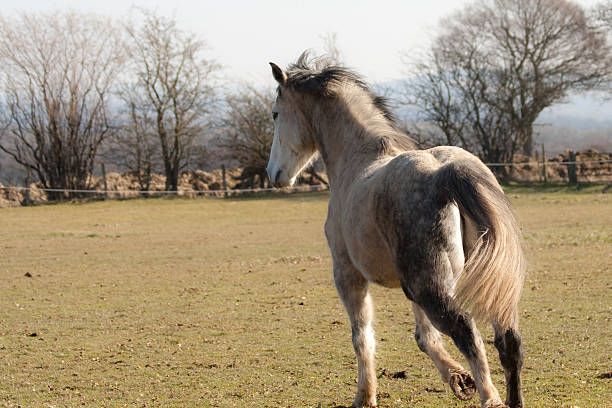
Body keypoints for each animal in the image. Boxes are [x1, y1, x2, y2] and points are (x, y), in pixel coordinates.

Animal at [266, 54, 524, 408]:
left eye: (276, 114)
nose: (273, 174)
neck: (357, 160)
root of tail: (445, 174)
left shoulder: (348, 275)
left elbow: (363, 338)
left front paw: (365, 396)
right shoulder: (408, 286)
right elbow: (424, 337)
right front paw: (458, 380)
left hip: (433, 290)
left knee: (468, 335)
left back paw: (490, 397)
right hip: (478, 283)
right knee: (507, 342)